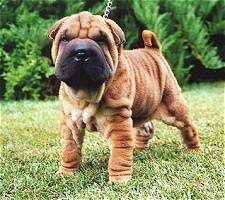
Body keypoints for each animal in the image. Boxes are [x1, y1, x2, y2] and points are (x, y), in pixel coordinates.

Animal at [47, 10, 200, 183]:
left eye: (101, 40)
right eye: (65, 39)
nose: (81, 52)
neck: (86, 91)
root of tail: (154, 52)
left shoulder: (118, 121)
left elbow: (119, 154)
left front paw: (119, 180)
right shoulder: (70, 123)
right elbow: (69, 149)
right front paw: (66, 173)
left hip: (174, 107)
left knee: (189, 128)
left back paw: (195, 150)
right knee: (146, 129)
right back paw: (139, 149)